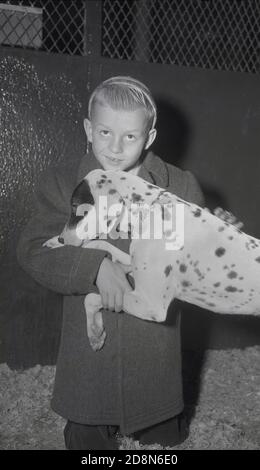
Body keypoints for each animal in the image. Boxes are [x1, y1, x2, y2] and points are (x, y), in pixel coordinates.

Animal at [44, 168, 260, 348]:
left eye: (75, 206)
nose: (62, 237)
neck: (152, 212)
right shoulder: (132, 262)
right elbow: (100, 245)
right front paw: (54, 243)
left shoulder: (149, 305)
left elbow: (91, 298)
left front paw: (94, 330)